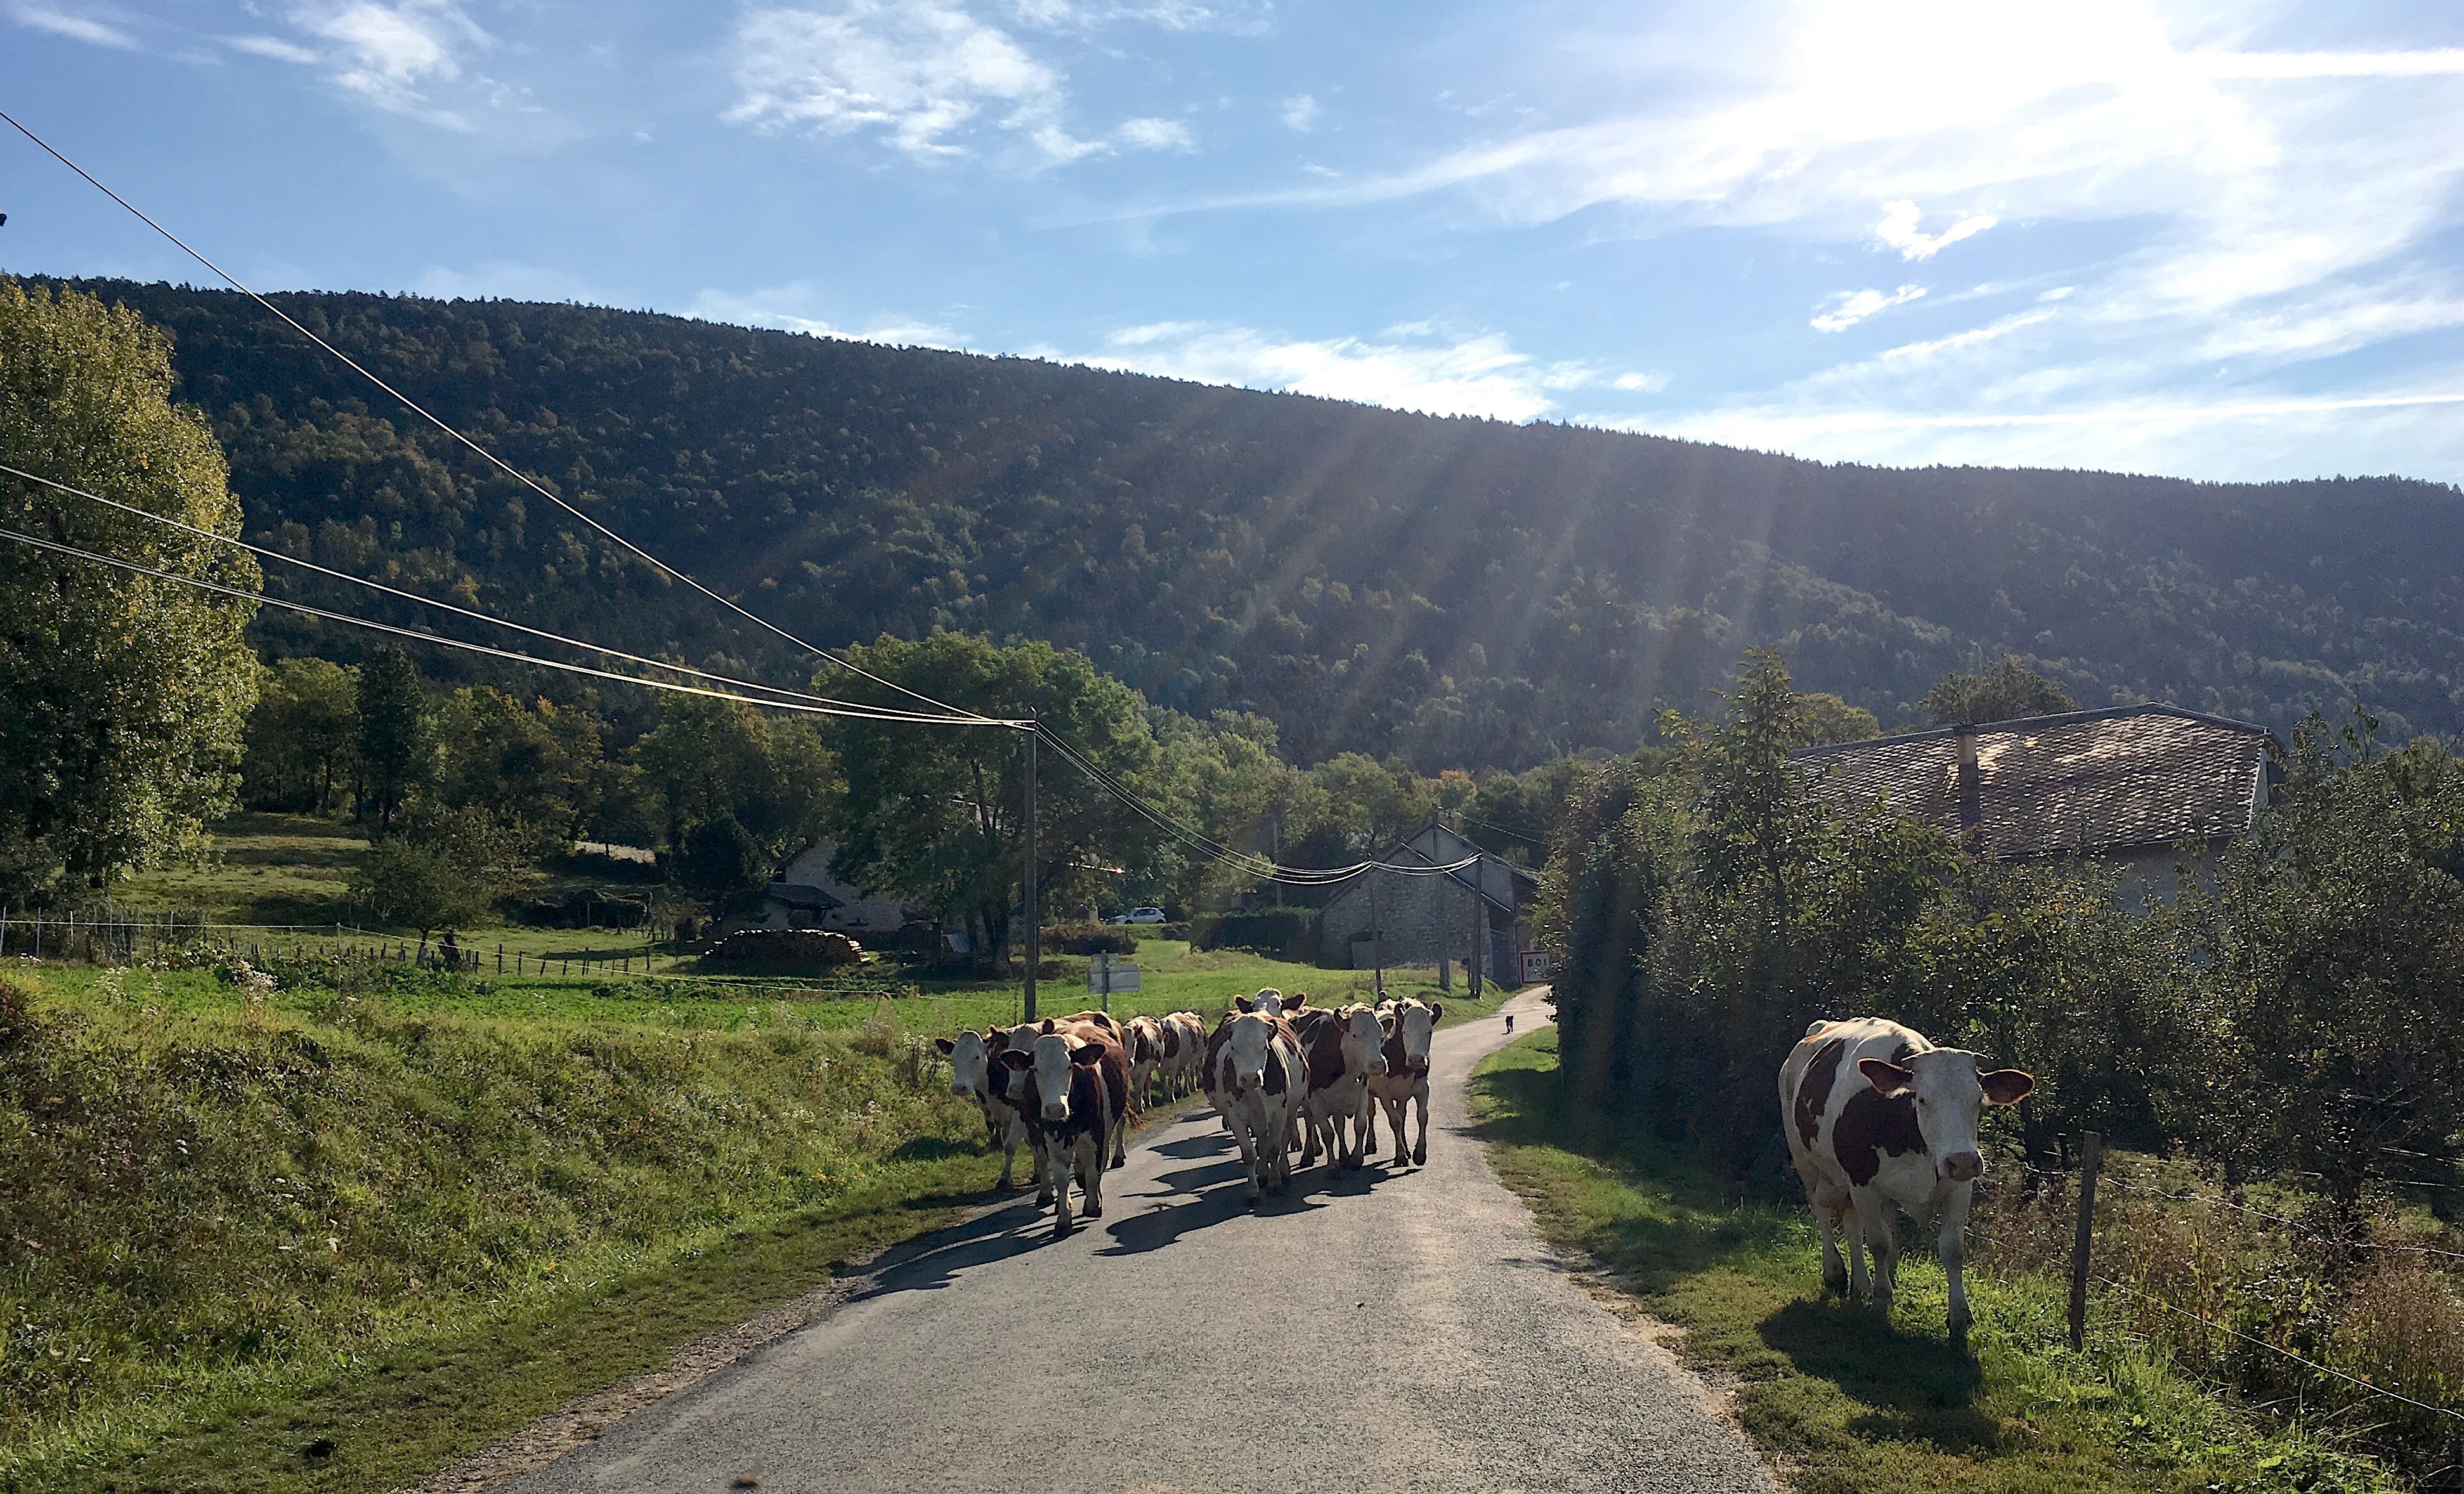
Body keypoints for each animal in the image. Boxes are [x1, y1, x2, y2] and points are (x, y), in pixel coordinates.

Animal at [997, 1022, 1129, 1235]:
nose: (1055, 1108)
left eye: (1069, 1067)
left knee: (1099, 1163)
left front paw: (1093, 1205)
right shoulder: (1049, 1136)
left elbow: (1094, 1172)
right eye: (1035, 1069)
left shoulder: (1096, 1133)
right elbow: (1061, 1178)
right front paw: (1064, 1218)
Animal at [1204, 1007, 1307, 1204]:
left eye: (1265, 1047)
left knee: (1284, 1139)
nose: (1250, 1078)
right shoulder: (1235, 1117)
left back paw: (1283, 1171)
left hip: (1289, 1111)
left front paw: (1275, 1183)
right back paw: (1263, 1174)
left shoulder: (1279, 1112)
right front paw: (1253, 1190)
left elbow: (1275, 1148)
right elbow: (1250, 1154)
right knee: (1261, 1142)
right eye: (1233, 1047)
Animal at [1292, 1002, 1387, 1170]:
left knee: (1339, 1126)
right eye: (1355, 1035)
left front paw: (1356, 1158)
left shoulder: (1362, 1092)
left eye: (1381, 1035)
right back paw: (1308, 1155)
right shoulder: (1314, 1098)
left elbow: (1360, 1125)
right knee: (1310, 1123)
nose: (1378, 1065)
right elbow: (1327, 1132)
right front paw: (1332, 1166)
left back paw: (1344, 1156)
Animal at [1365, 998, 1441, 1166]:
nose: (1416, 1060)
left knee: (1403, 1114)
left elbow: (1422, 1116)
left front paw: (1419, 1153)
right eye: (1405, 1031)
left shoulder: (1423, 1086)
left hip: (1402, 1094)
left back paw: (1407, 1149)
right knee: (1371, 1113)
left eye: (1429, 1032)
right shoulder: (1384, 1094)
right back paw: (1371, 1144)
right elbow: (1395, 1122)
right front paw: (1400, 1156)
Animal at [1779, 1017, 2034, 1331]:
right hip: (1806, 1161)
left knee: (1852, 1224)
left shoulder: (1960, 1187)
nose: (1963, 1161)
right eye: (1922, 1099)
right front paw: (1882, 1298)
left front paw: (1959, 1313)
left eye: (1978, 1100)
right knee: (1821, 1212)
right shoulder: (1862, 1180)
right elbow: (1879, 1242)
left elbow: (1952, 1249)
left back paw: (1861, 1283)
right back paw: (1836, 1273)